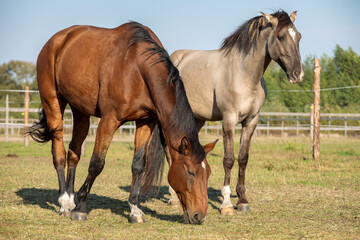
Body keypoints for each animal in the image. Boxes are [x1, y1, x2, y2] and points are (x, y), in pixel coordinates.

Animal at [28, 21, 217, 224]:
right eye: (191, 172)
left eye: (208, 173)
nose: (200, 216)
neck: (137, 68)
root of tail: (56, 41)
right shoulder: (109, 120)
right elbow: (97, 163)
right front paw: (81, 207)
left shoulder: (145, 121)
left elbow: (138, 164)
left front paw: (135, 210)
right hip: (53, 103)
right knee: (59, 153)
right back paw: (64, 202)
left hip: (80, 112)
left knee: (73, 153)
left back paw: (70, 199)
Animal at [169, 10, 304, 214]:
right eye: (281, 37)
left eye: (299, 37)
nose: (298, 74)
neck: (244, 75)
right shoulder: (229, 120)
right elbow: (228, 159)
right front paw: (226, 203)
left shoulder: (251, 122)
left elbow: (243, 159)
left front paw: (242, 200)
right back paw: (172, 198)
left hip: (197, 118)